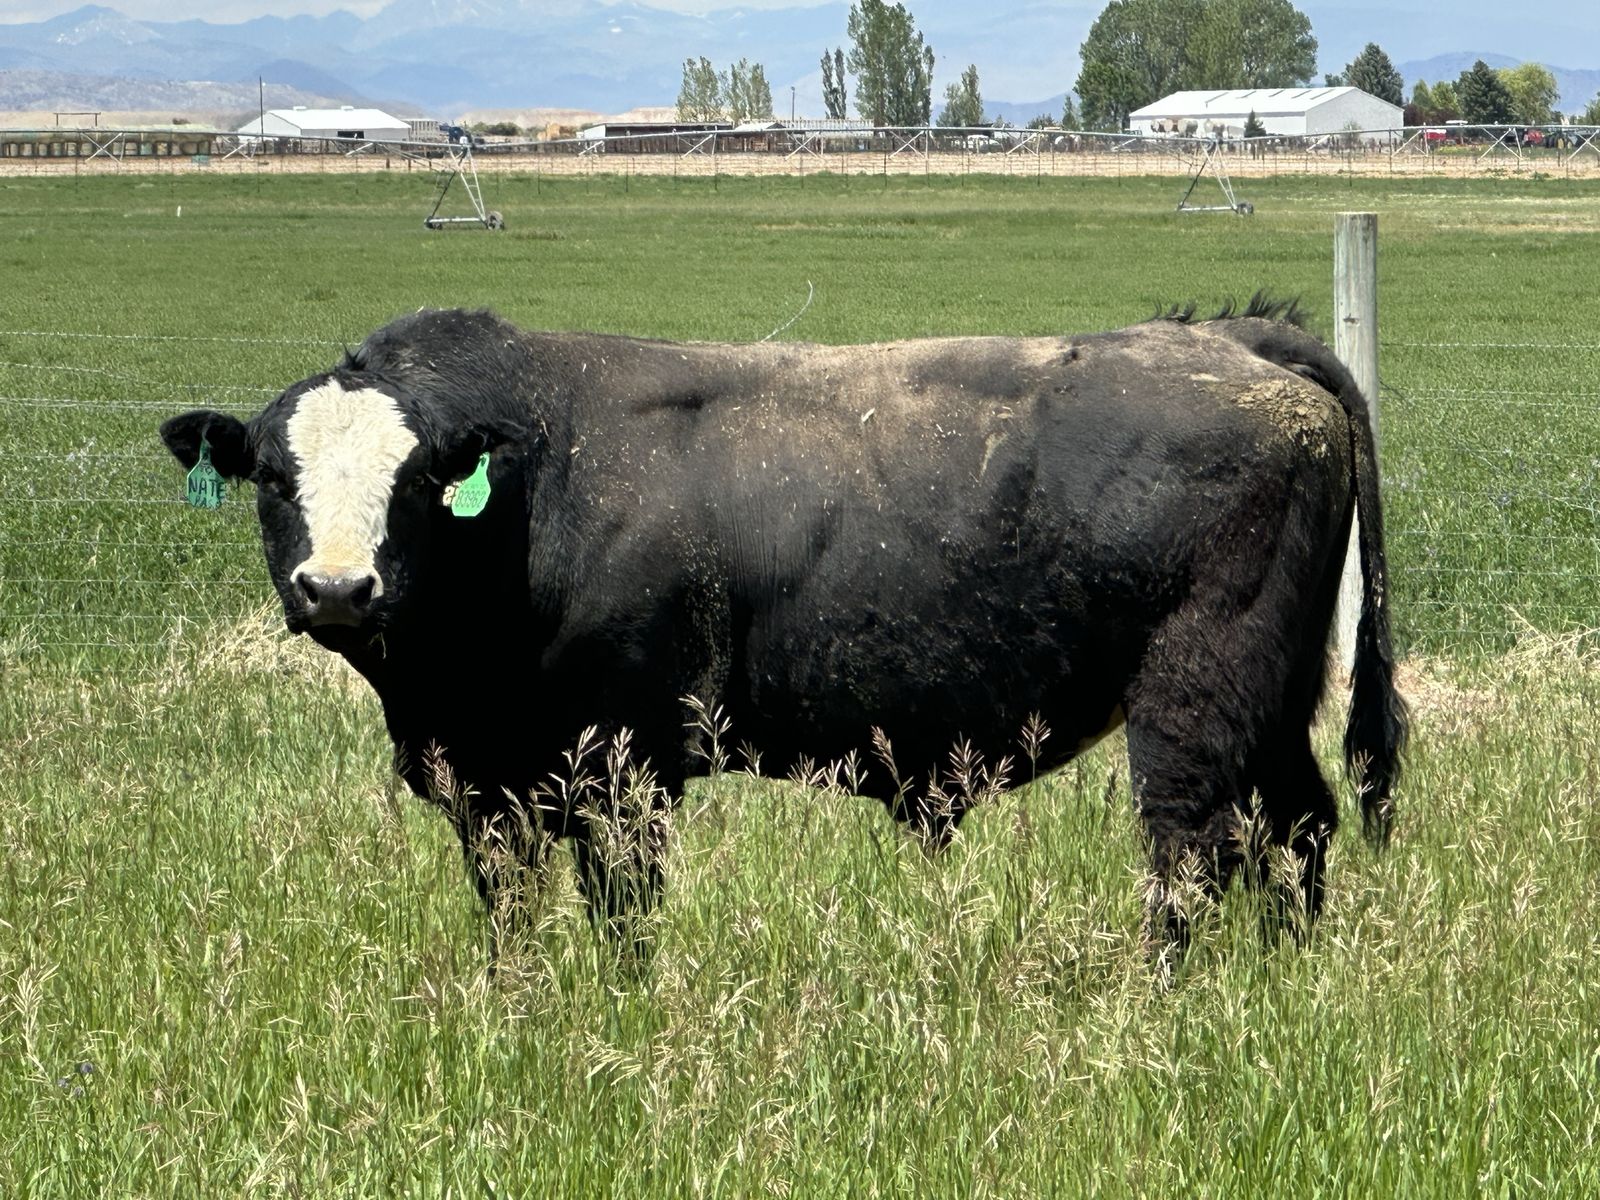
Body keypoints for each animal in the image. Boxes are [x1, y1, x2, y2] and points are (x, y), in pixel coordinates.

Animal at [160, 299, 1407, 962]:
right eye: (273, 477)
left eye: (420, 479)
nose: (337, 589)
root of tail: (1237, 340)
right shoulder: (488, 782)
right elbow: (511, 911)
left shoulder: (624, 773)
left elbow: (623, 915)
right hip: (1273, 695)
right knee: (1295, 827)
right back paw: (1281, 978)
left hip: (1194, 698)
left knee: (1192, 848)